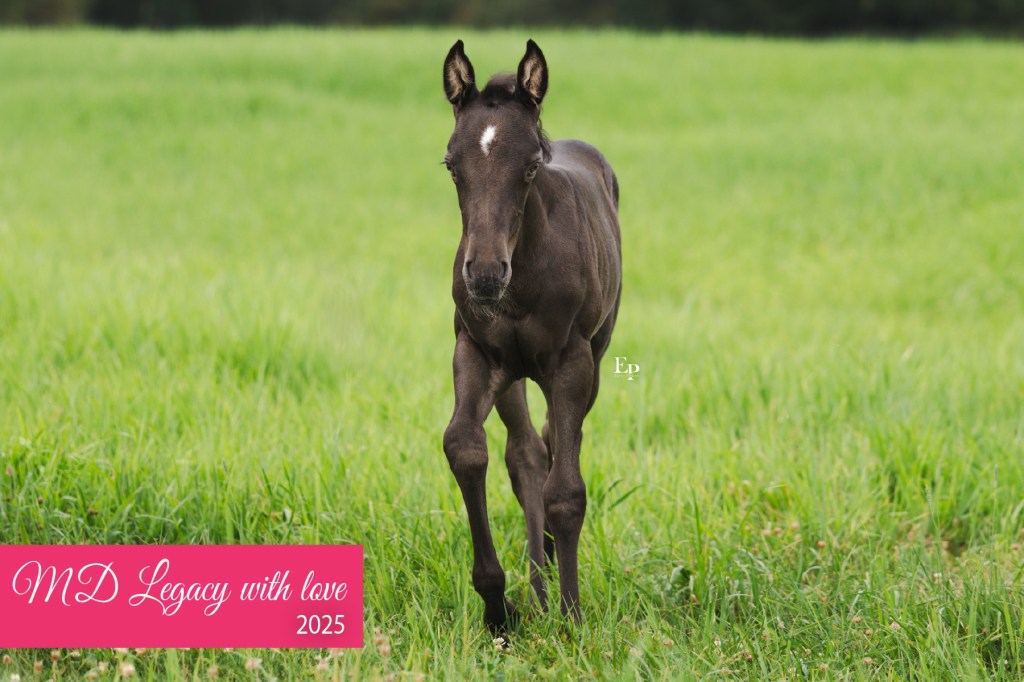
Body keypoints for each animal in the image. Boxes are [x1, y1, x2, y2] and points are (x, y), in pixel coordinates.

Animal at [441, 39, 622, 632]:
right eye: (452, 165)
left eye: (529, 168)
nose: (484, 275)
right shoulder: (475, 352)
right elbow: (466, 447)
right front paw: (498, 610)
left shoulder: (570, 363)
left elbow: (566, 491)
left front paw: (572, 618)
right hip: (515, 375)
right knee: (527, 456)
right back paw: (537, 590)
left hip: (593, 359)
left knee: (555, 446)